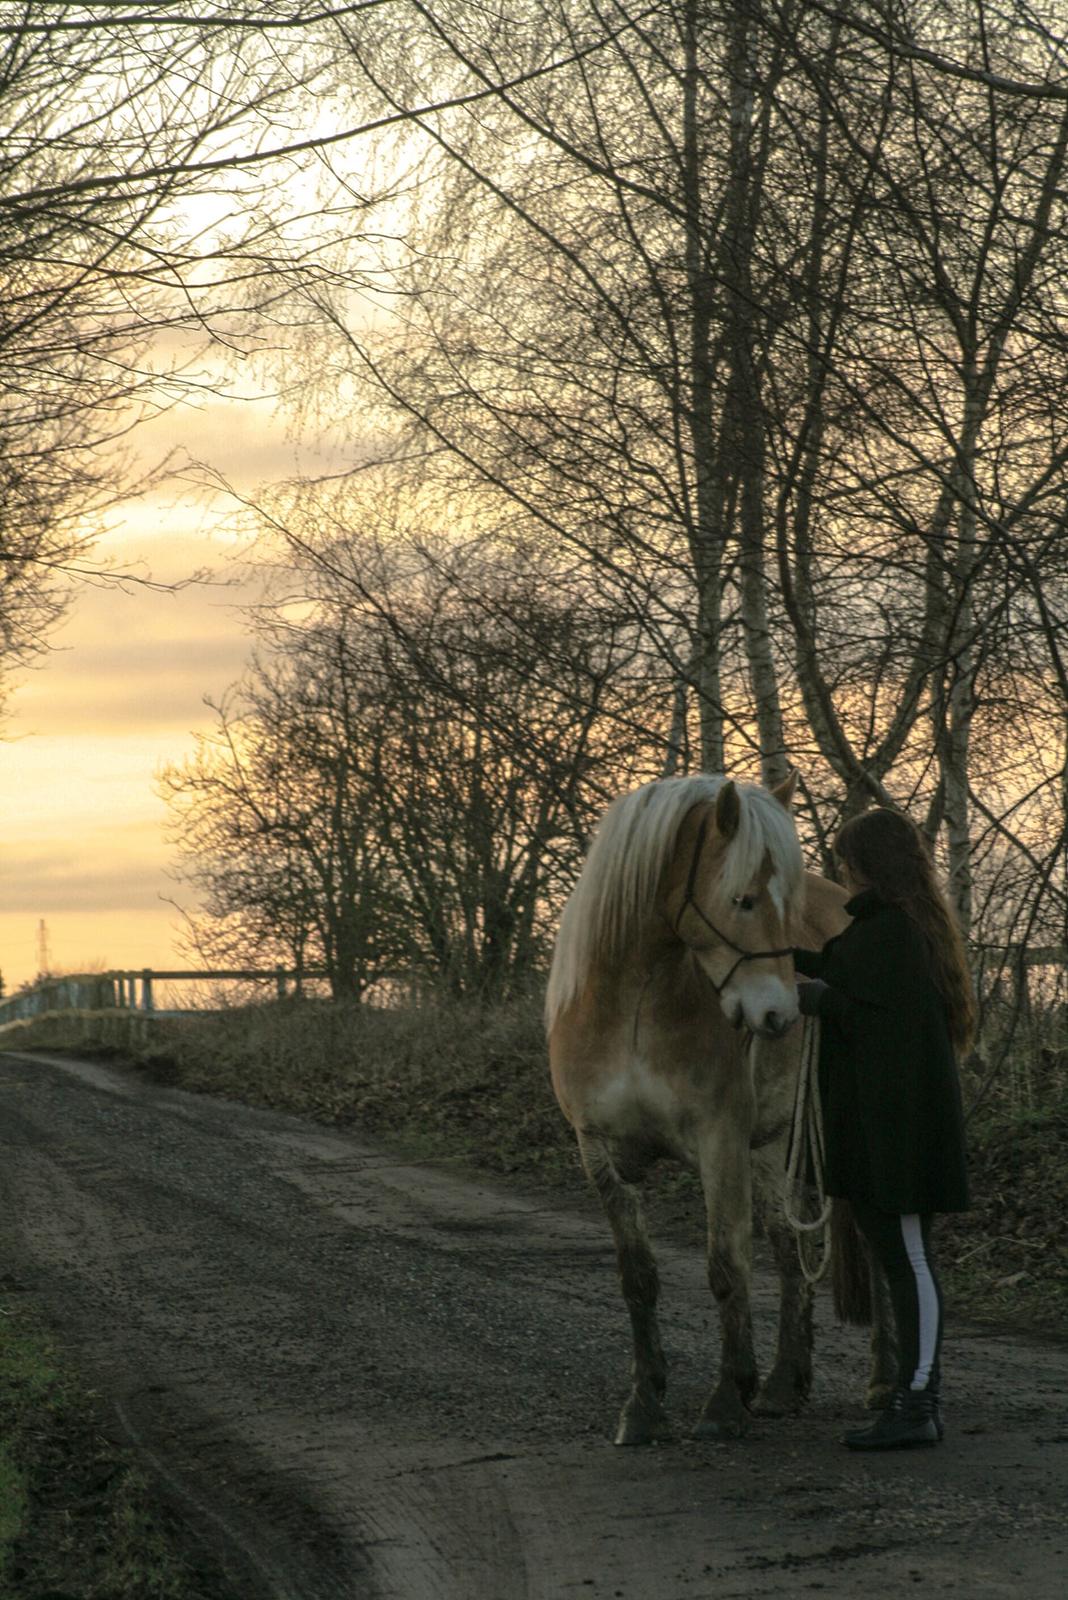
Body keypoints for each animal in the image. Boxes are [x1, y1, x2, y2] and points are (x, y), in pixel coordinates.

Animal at [549, 768, 895, 1446]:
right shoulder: (599, 1152)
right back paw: (785, 1384)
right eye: (743, 900)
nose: (780, 1014)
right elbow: (638, 1277)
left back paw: (883, 1384)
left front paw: (725, 1401)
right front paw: (644, 1405)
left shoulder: (719, 1144)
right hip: (776, 1148)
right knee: (790, 1250)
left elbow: (727, 1268)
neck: (634, 1006)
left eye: (788, 904)